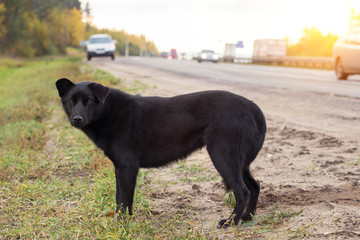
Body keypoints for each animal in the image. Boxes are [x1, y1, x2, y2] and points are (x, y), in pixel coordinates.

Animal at [55, 78, 264, 227]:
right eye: (70, 101)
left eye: (89, 101)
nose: (77, 119)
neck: (108, 111)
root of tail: (253, 107)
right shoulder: (119, 168)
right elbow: (119, 198)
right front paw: (119, 222)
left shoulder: (127, 167)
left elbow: (124, 200)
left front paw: (122, 226)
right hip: (238, 161)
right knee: (254, 186)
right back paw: (247, 216)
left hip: (222, 156)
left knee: (242, 191)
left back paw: (230, 221)